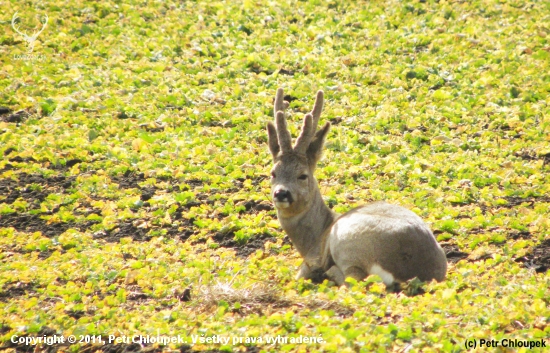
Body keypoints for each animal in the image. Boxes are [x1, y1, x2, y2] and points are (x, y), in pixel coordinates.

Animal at [268, 88, 448, 286]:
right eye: (273, 173)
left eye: (302, 175)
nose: (281, 193)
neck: (316, 236)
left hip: (348, 240)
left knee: (352, 279)